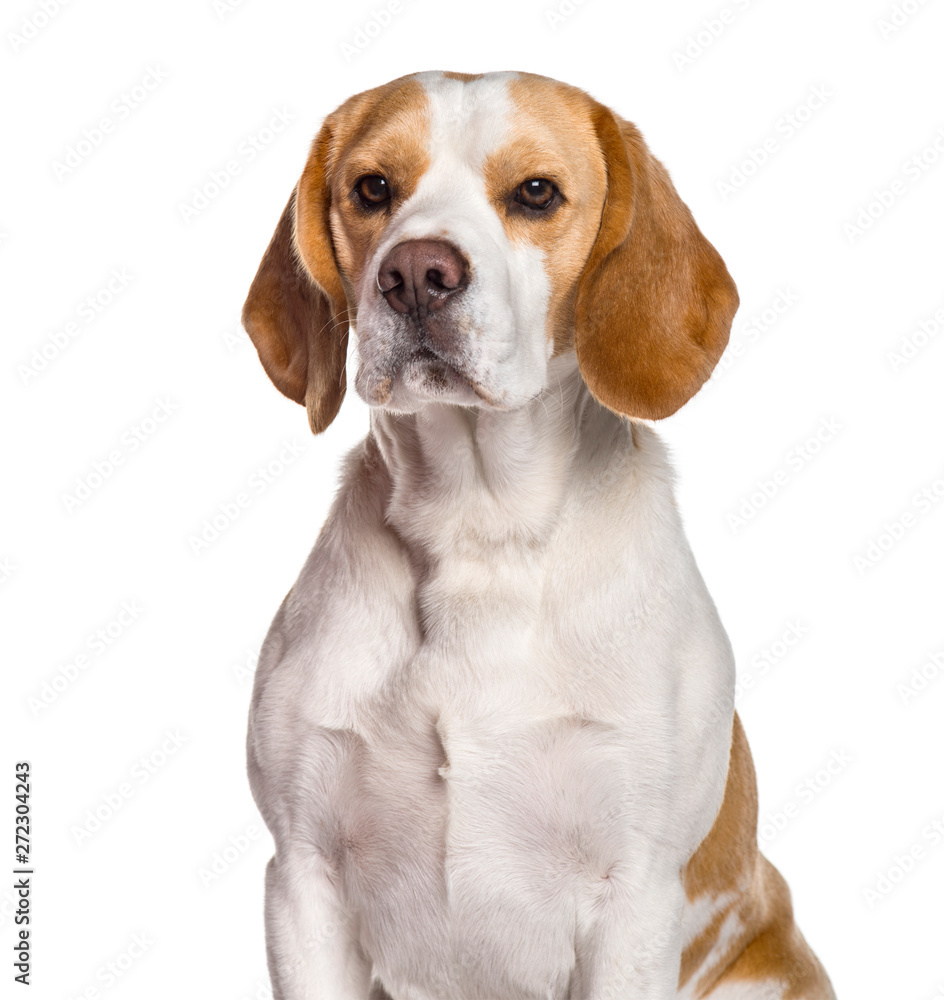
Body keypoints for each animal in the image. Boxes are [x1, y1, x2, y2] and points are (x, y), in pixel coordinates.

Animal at [242, 72, 832, 1000]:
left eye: (535, 193)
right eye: (372, 188)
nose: (416, 274)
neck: (478, 528)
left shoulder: (632, 901)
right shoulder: (302, 880)